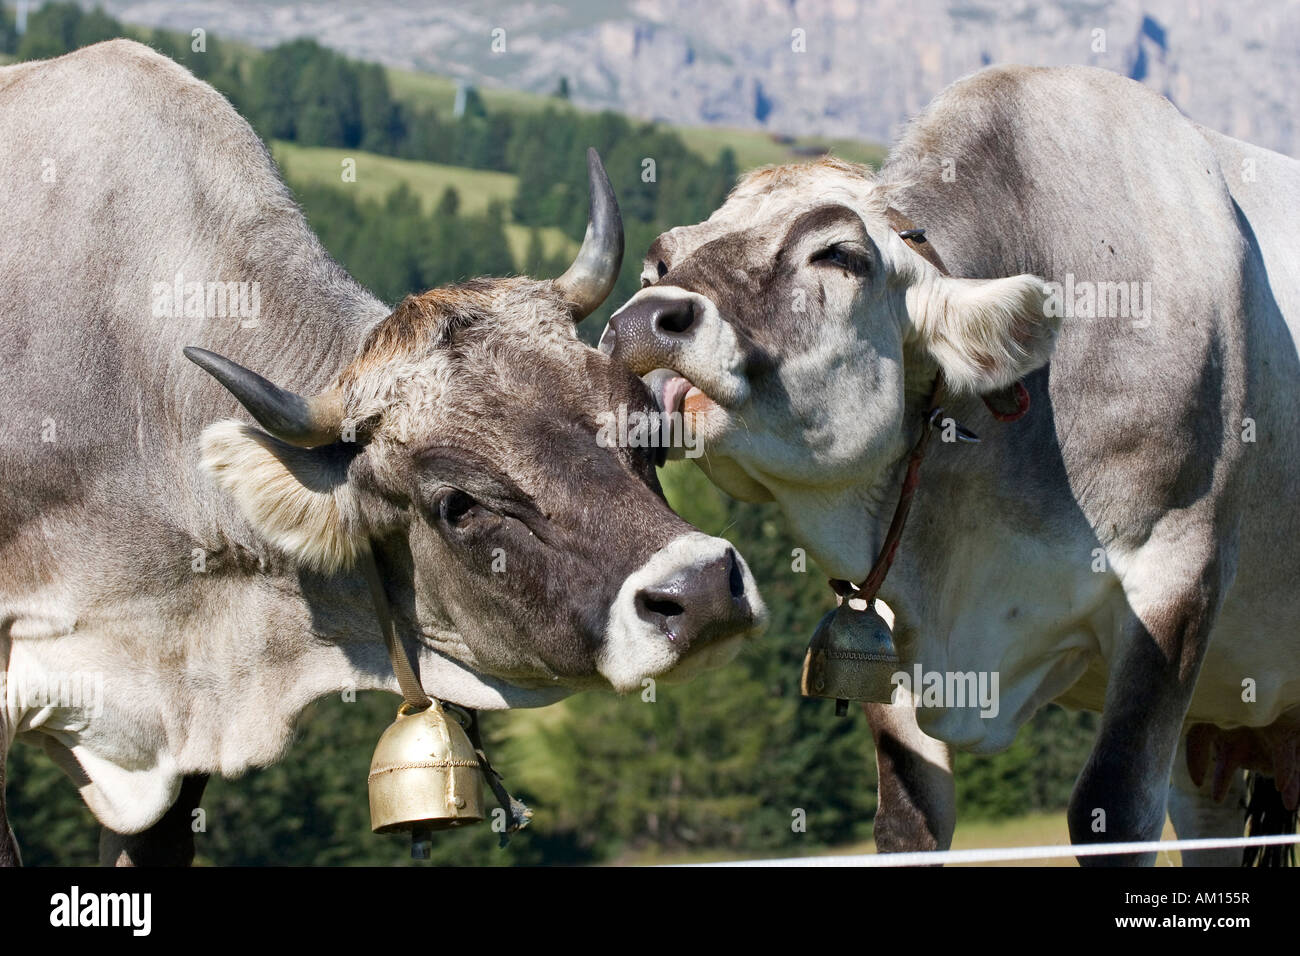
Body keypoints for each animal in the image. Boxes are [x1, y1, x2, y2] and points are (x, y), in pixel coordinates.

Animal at [608, 63, 1300, 863]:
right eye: (659, 262)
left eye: (838, 254)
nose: (639, 322)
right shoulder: (883, 615)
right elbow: (909, 818)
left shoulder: (1177, 576)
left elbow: (1115, 806)